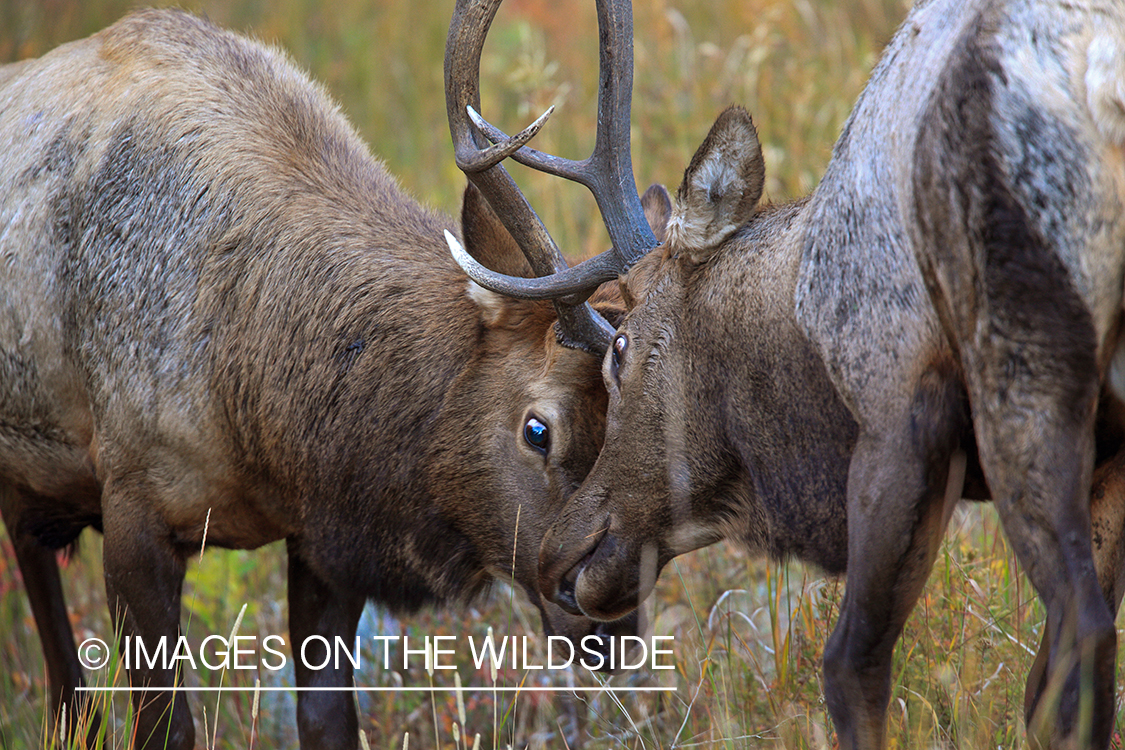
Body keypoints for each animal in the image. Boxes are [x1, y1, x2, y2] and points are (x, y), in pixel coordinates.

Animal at [0, 7, 652, 750]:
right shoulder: (134, 504)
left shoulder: (321, 538)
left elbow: (327, 719)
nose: (615, 625)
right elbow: (166, 729)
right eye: (538, 429)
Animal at [443, 1, 1125, 750]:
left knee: (1084, 634)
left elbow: (849, 666)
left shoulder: (892, 410)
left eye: (619, 347)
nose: (557, 560)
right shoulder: (1111, 459)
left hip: (1018, 361)